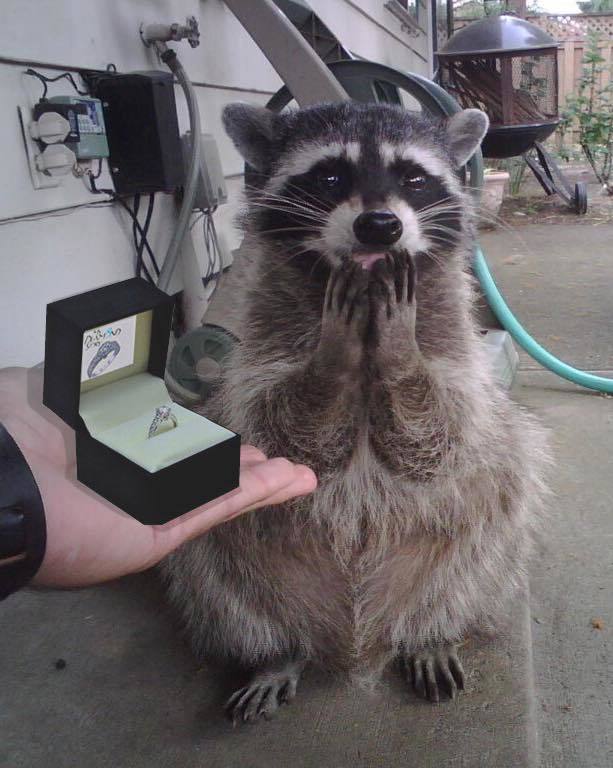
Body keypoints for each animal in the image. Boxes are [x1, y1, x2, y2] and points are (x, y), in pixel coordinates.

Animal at [160, 100, 548, 720]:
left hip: (472, 553)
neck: (367, 302)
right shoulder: (260, 355)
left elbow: (443, 437)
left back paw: (431, 632)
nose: (380, 225)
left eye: (413, 178)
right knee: (212, 566)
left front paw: (400, 355)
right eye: (330, 176)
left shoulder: (456, 351)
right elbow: (284, 437)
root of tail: (355, 640)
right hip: (240, 575)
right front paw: (333, 359)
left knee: (494, 521)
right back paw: (275, 652)